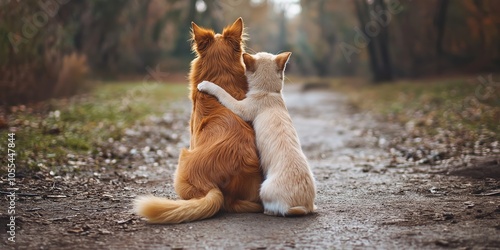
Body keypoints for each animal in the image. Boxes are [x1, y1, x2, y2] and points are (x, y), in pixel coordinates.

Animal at [197, 51, 314, 216]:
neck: (269, 92)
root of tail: (306, 207)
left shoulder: (240, 108)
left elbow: (222, 92)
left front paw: (205, 84)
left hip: (264, 189)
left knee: (279, 209)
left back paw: (268, 211)